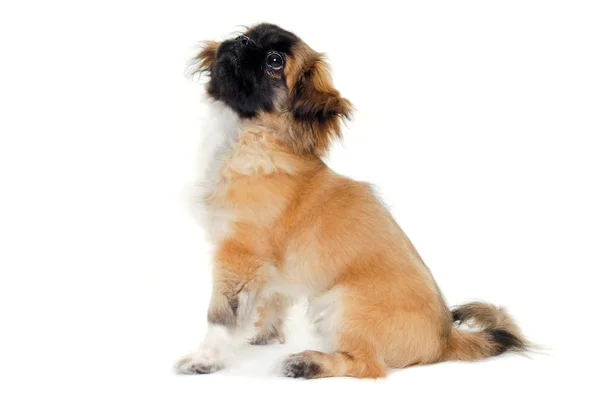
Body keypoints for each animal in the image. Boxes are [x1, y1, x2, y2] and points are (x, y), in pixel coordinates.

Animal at [173, 22, 524, 378]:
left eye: (274, 61)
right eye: (246, 33)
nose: (241, 41)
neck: (246, 139)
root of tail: (446, 340)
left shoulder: (238, 256)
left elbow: (221, 317)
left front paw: (206, 358)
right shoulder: (268, 271)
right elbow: (272, 301)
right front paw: (266, 336)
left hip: (342, 303)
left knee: (367, 365)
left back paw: (308, 362)